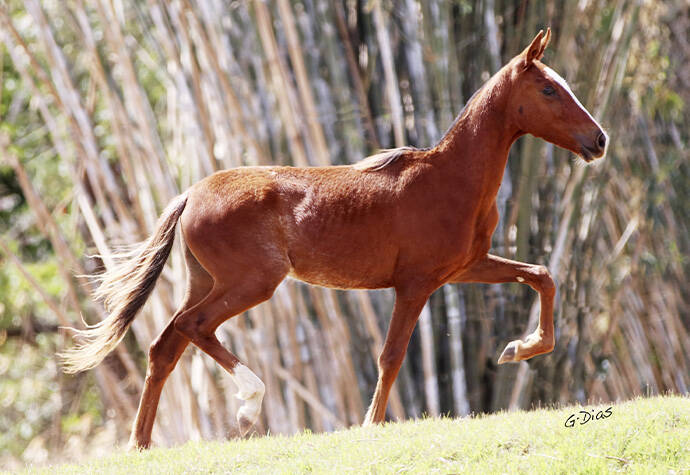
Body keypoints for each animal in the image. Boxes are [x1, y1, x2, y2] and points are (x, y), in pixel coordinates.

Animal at [61, 30, 604, 450]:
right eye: (549, 89)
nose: (599, 141)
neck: (450, 178)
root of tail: (192, 192)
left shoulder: (467, 266)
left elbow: (542, 275)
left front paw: (519, 348)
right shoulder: (416, 284)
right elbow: (390, 356)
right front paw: (369, 425)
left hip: (206, 280)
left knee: (164, 346)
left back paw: (140, 443)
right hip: (253, 282)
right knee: (193, 327)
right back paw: (247, 407)